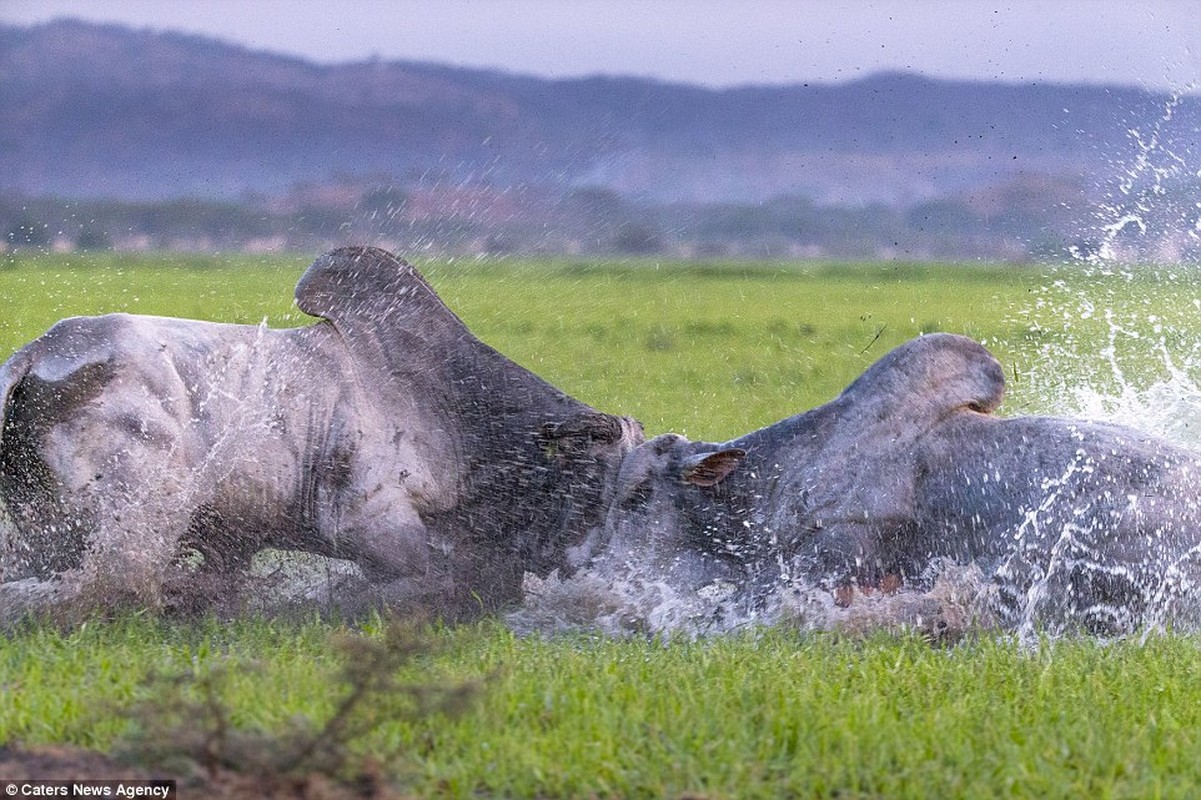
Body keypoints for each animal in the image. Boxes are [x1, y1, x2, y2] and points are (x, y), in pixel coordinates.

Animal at [0, 246, 648, 619]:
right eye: (599, 476)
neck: (456, 415)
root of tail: (36, 354)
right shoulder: (367, 517)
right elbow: (447, 578)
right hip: (139, 504)